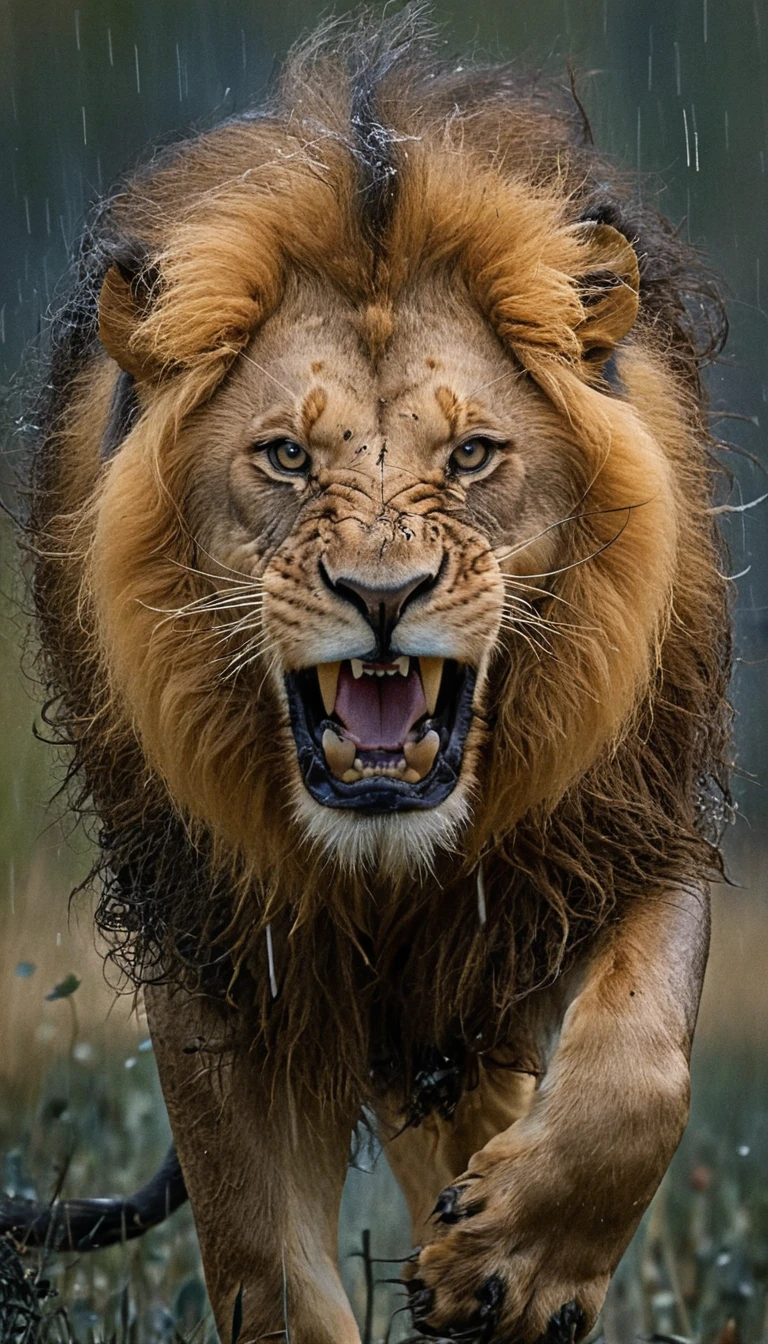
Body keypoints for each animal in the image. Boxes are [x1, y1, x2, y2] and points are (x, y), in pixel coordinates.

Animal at [7, 12, 732, 1344]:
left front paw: (514, 1266)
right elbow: (262, 1256)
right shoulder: (217, 956)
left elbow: (636, 1075)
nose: (382, 593)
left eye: (475, 454)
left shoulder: (631, 833)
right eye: (287, 458)